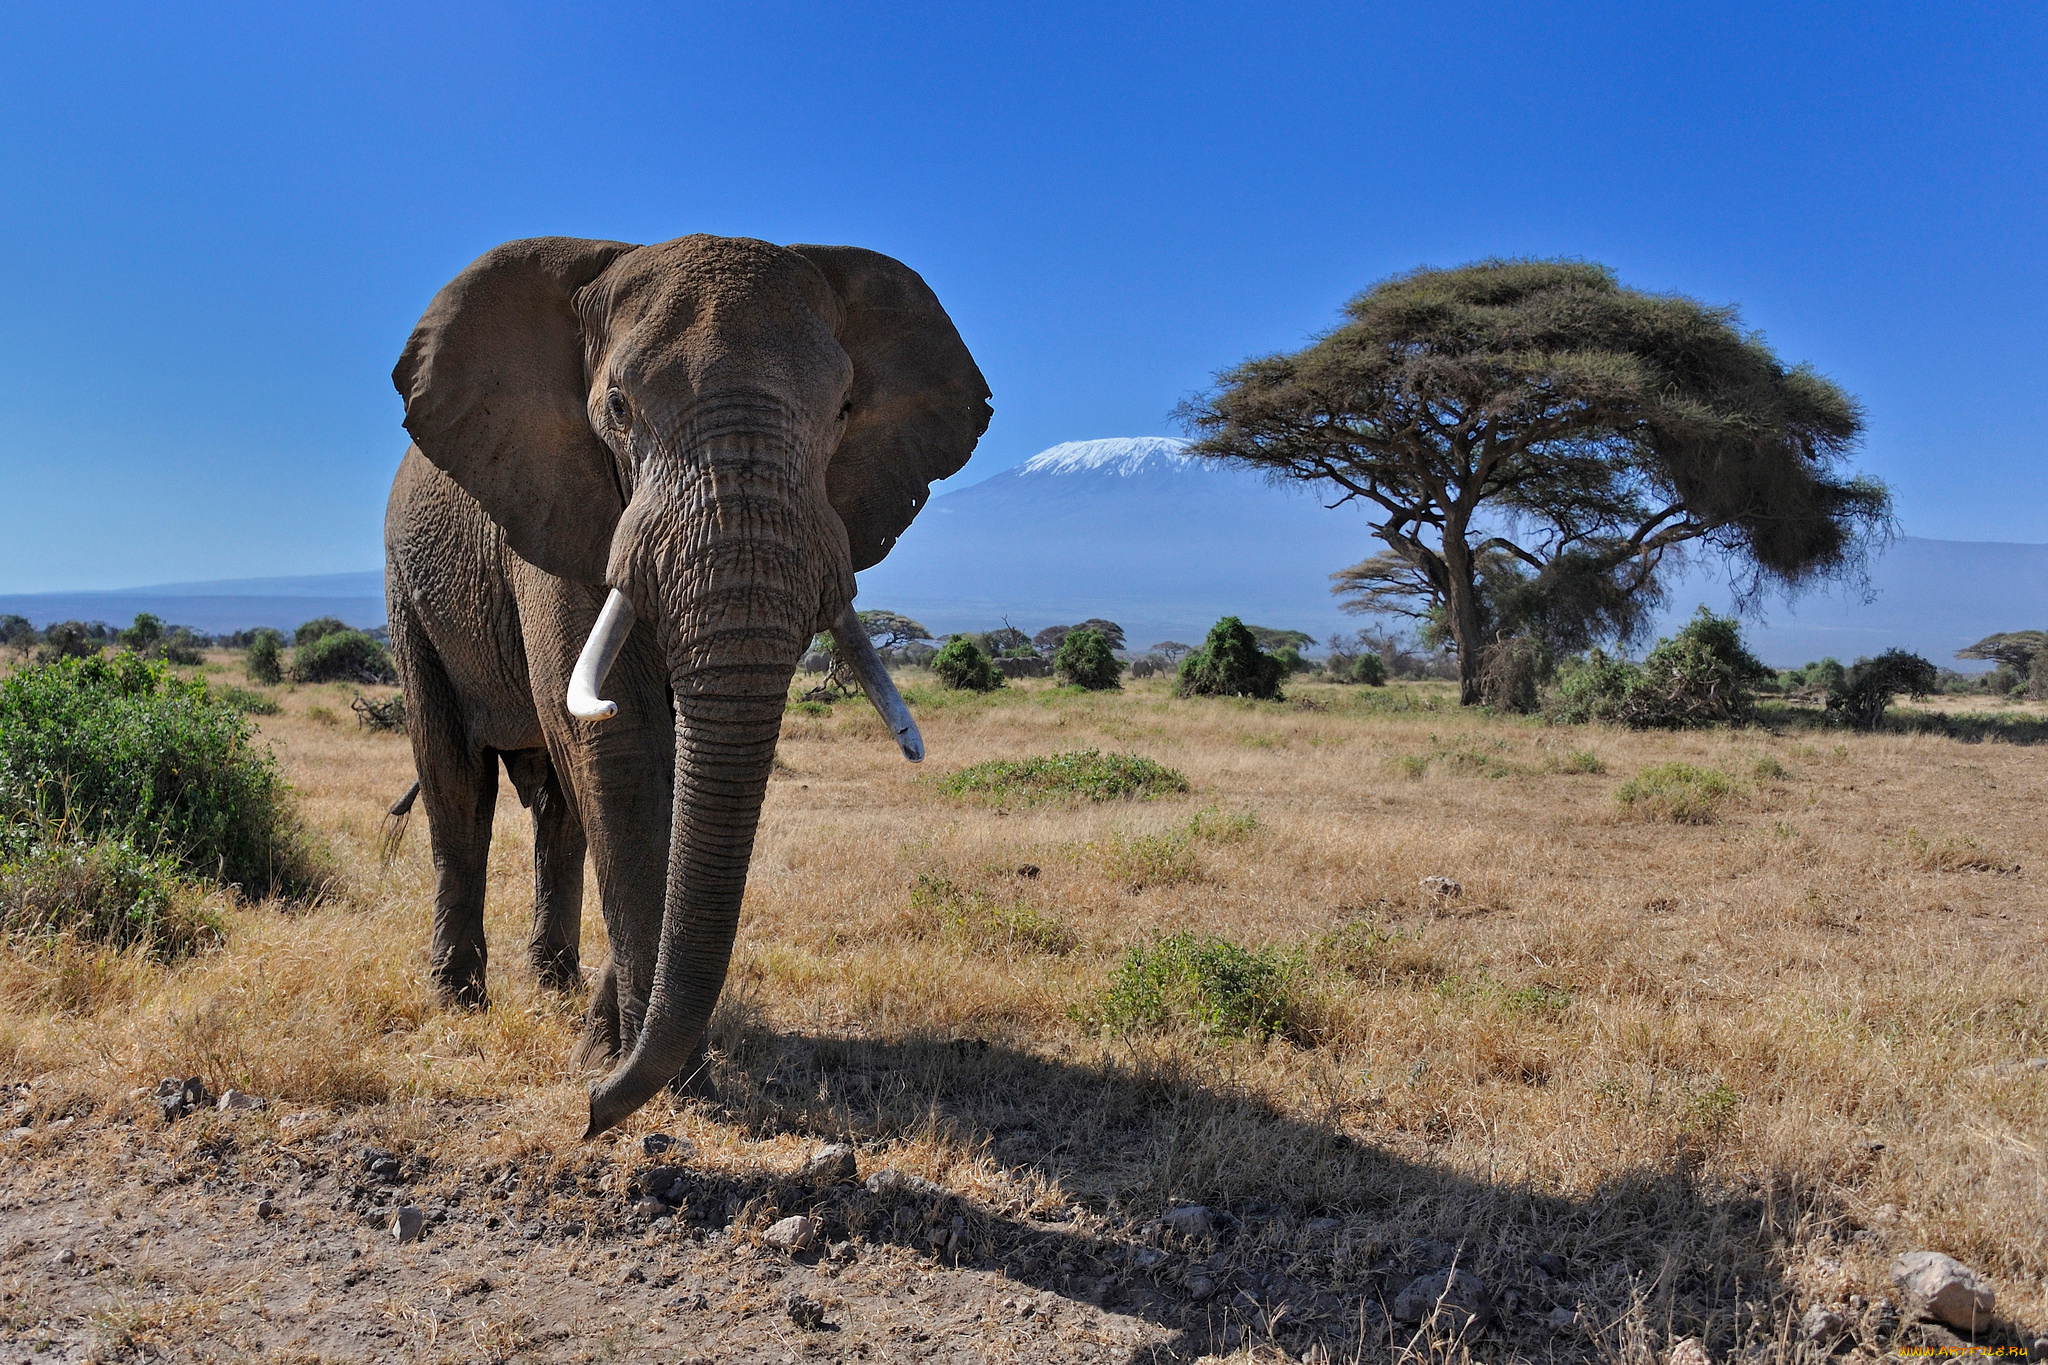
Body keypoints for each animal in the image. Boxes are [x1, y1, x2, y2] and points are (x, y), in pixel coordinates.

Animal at [382, 235, 990, 1136]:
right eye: (619, 408)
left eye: (845, 408)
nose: (590, 1113)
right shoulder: (559, 498)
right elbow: (621, 741)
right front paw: (663, 1080)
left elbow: (672, 769)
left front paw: (613, 1050)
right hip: (408, 586)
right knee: (457, 780)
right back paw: (459, 1002)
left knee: (559, 808)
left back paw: (554, 987)